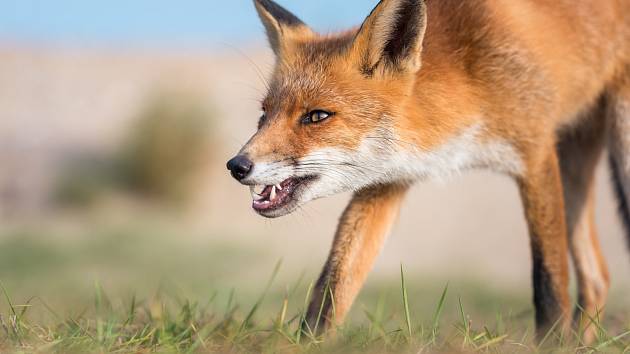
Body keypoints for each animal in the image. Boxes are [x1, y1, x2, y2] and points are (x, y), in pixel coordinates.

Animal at [227, 0, 630, 342]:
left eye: (317, 116)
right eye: (264, 115)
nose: (236, 166)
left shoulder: (536, 153)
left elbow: (549, 282)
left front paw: (551, 343)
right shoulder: (387, 181)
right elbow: (335, 282)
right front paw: (311, 343)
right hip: (574, 159)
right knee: (598, 276)